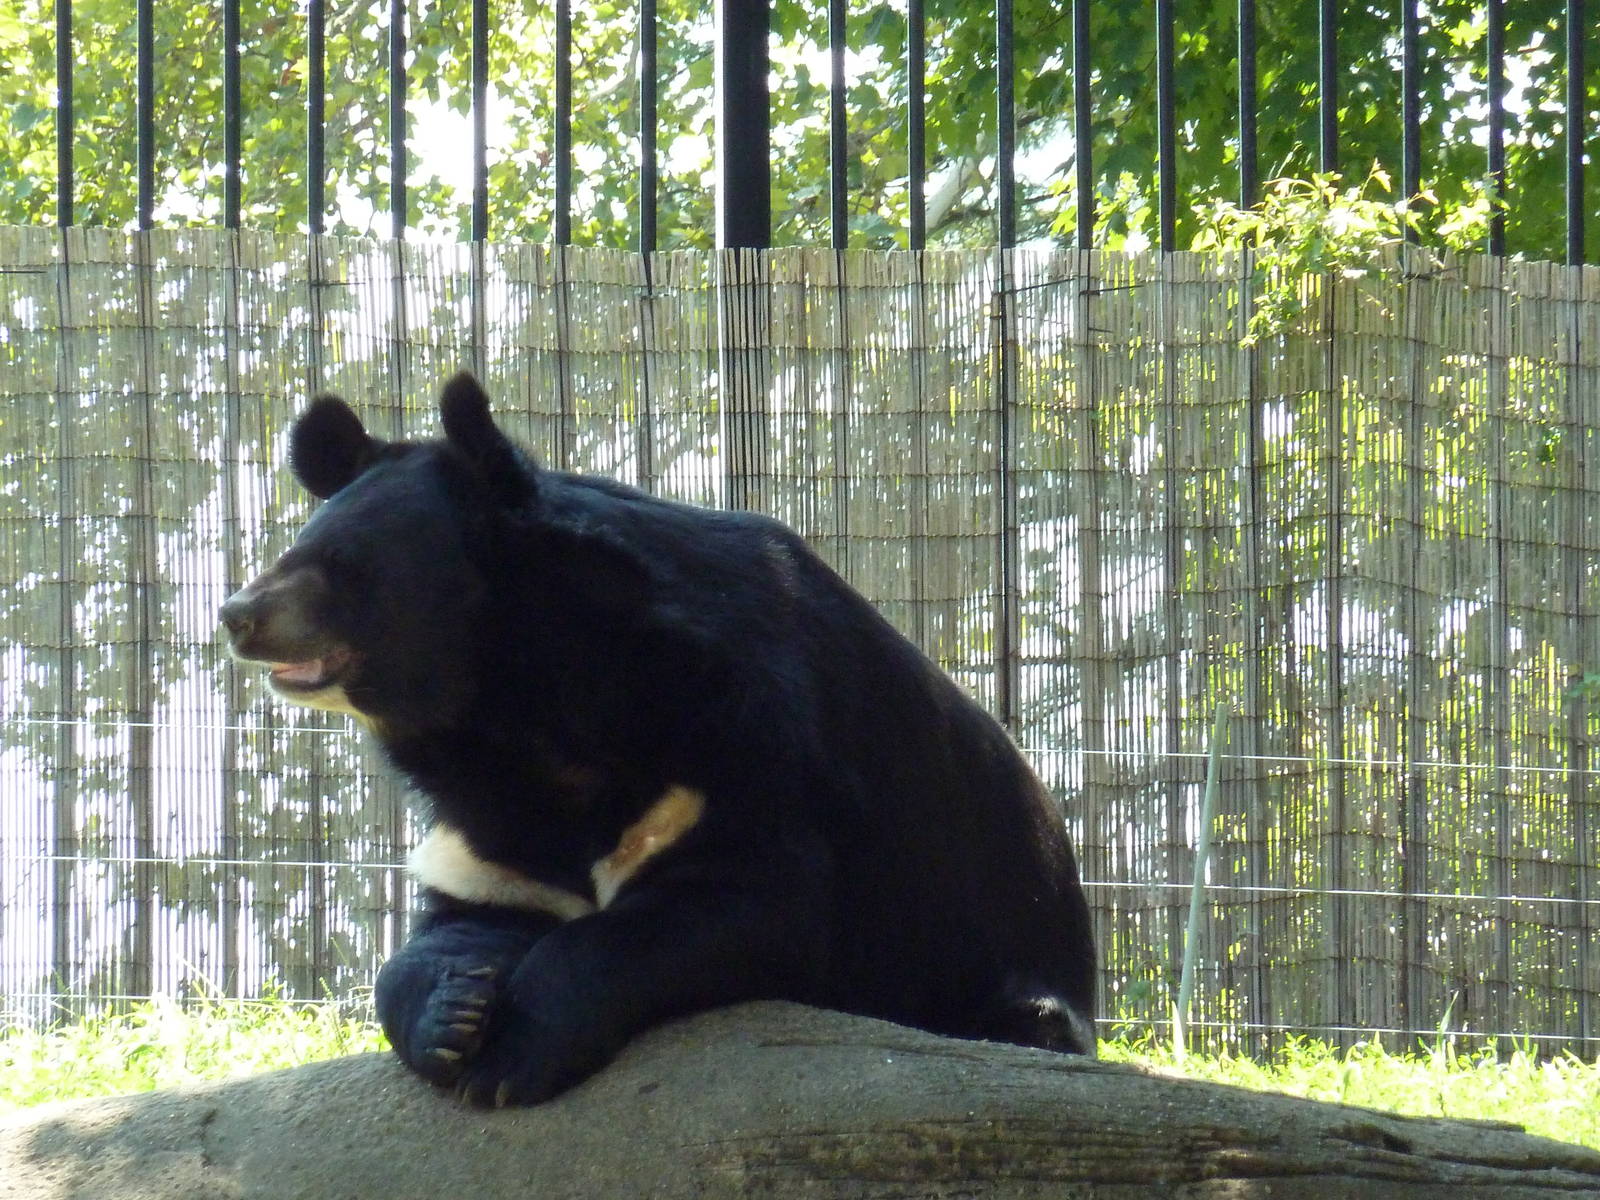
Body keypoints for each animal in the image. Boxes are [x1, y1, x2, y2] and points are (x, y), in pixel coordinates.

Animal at [219, 372, 1097, 1106]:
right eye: (294, 548)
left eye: (346, 562)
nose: (237, 614)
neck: (504, 700)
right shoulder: (487, 827)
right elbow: (448, 924)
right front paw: (454, 1015)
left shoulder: (740, 747)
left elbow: (731, 904)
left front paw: (512, 1058)